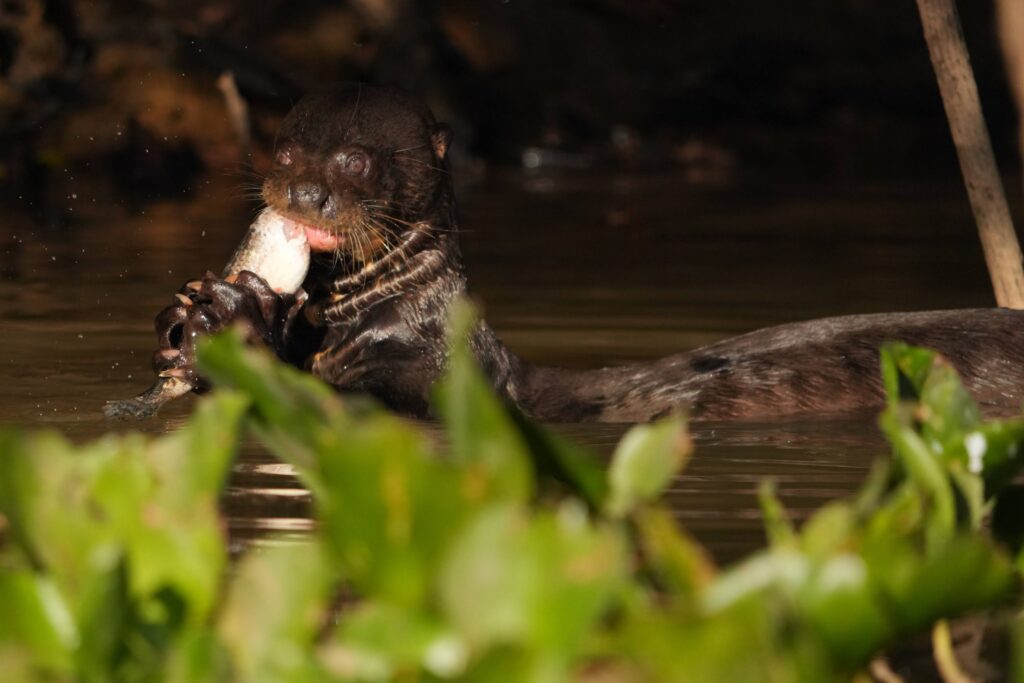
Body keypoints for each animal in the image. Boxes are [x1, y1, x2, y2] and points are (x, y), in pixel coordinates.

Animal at [150, 84, 1024, 422]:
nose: (304, 193)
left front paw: (232, 320)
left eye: (357, 161)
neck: (388, 317)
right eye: (284, 152)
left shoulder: (421, 375)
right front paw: (185, 317)